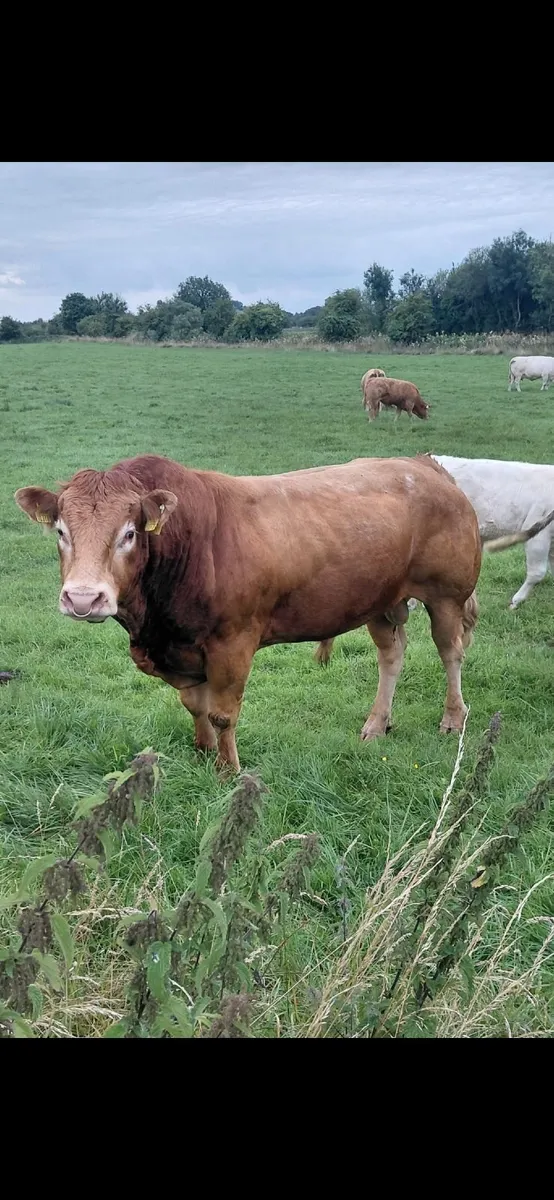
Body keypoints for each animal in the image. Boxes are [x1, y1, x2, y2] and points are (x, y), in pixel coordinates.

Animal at [16, 453, 482, 773]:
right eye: (61, 531)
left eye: (129, 533)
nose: (83, 599)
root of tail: (424, 464)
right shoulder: (184, 649)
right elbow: (194, 704)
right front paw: (203, 753)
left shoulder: (233, 642)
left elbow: (222, 713)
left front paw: (228, 771)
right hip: (379, 600)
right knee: (392, 655)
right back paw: (376, 724)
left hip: (446, 595)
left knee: (451, 652)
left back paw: (453, 718)